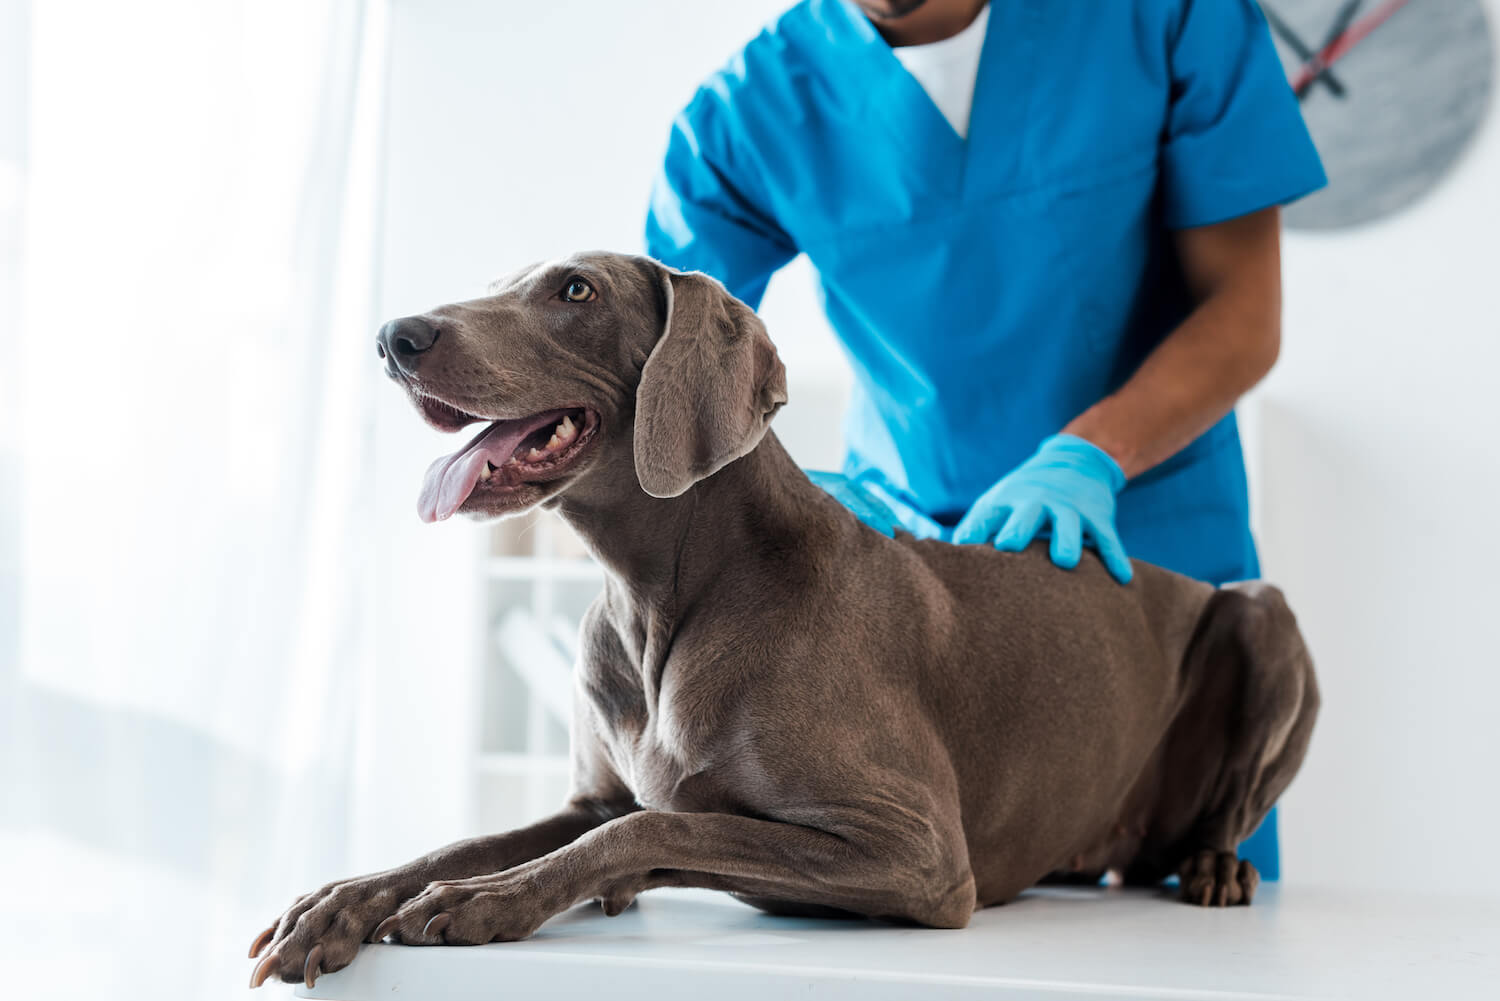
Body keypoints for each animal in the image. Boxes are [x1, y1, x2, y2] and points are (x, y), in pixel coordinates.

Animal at [249, 252, 1326, 996]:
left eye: (574, 290)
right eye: (501, 282)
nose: (396, 336)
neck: (662, 596)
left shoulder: (919, 850)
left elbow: (658, 820)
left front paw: (487, 899)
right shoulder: (587, 799)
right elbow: (475, 839)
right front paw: (341, 900)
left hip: (1262, 616)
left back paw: (1217, 863)